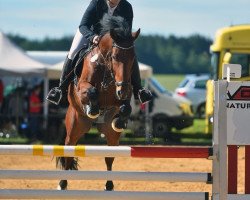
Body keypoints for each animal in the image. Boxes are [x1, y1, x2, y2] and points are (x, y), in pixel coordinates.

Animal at [56, 14, 141, 191]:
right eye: (115, 57)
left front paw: (120, 120)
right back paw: (62, 183)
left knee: (109, 157)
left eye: (133, 59)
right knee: (68, 153)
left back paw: (109, 185)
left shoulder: (121, 97)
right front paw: (93, 109)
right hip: (74, 127)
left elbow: (126, 107)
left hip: (111, 135)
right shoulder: (82, 88)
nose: (122, 91)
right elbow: (91, 92)